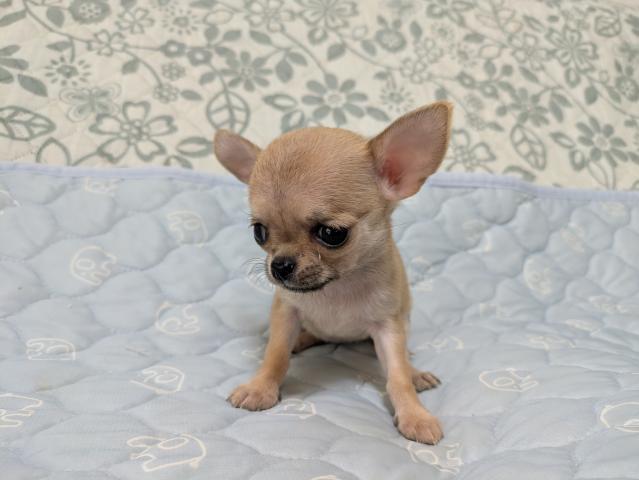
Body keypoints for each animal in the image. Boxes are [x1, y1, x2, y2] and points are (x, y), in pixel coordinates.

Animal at [214, 101, 452, 444]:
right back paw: (300, 340)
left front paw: (414, 414)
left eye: (332, 234)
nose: (280, 265)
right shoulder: (286, 311)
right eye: (259, 232)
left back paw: (416, 373)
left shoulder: (388, 327)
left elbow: (397, 375)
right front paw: (260, 387)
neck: (338, 287)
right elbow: (276, 355)